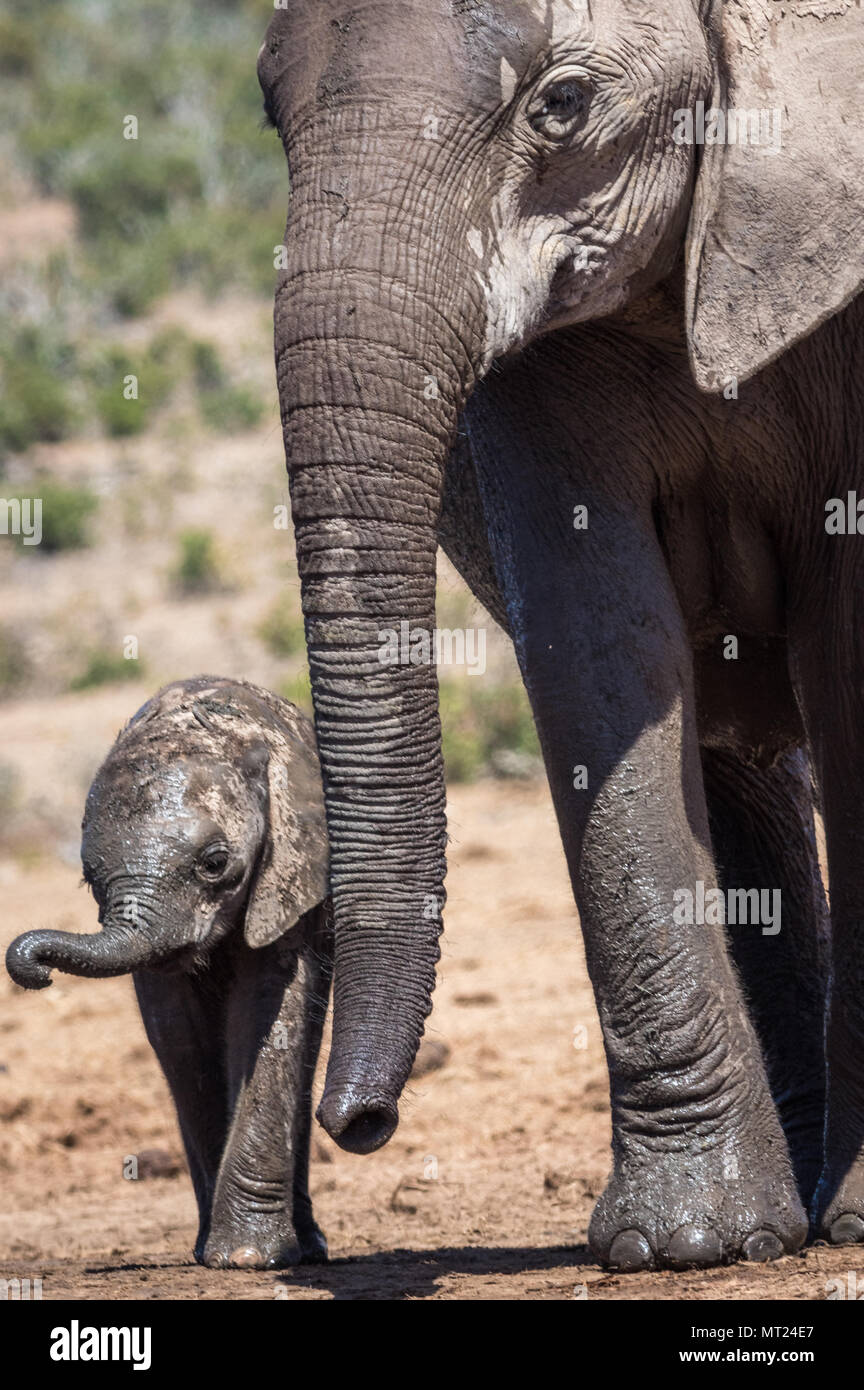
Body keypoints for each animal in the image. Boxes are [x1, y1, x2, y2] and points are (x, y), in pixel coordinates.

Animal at [6, 677, 332, 1270]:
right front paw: (218, 1254)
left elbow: (270, 1017)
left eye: (215, 863)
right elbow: (178, 1035)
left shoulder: (291, 871)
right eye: (88, 877)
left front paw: (247, 1258)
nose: (35, 971)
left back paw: (307, 1249)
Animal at [256, 0, 864, 1272]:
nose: (361, 1123)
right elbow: (597, 640)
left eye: (564, 105)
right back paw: (786, 1213)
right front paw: (689, 1245)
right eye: (268, 109)